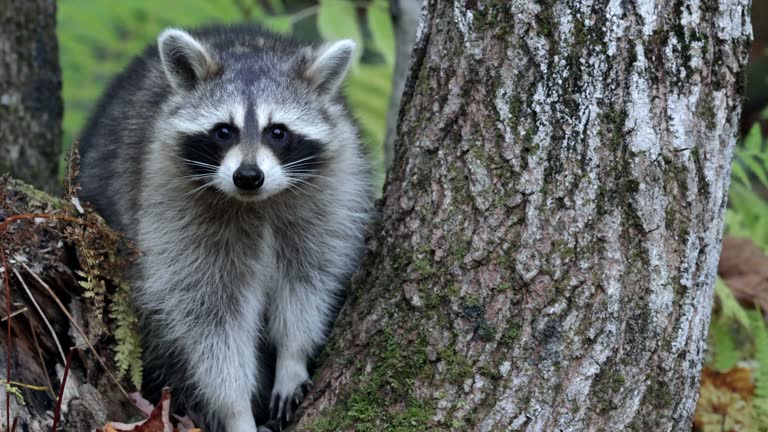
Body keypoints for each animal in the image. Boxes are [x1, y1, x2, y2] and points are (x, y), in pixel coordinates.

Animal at [79, 25, 376, 430]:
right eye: (224, 131)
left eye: (277, 132)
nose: (248, 176)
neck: (255, 202)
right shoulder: (174, 209)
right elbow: (210, 318)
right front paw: (236, 409)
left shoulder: (330, 191)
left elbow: (309, 280)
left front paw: (293, 356)